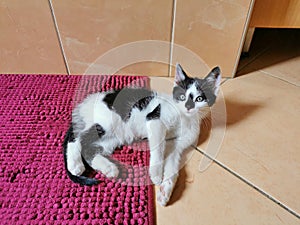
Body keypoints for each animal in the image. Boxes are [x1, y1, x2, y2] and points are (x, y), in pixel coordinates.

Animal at [62, 63, 220, 206]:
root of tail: (83, 105)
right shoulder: (154, 119)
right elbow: (158, 148)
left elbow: (173, 167)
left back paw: (108, 168)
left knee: (88, 149)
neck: (184, 118)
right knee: (76, 138)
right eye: (182, 97)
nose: (188, 107)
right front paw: (155, 173)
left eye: (199, 99)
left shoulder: (176, 145)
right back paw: (75, 164)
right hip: (108, 121)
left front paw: (165, 191)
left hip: (113, 138)